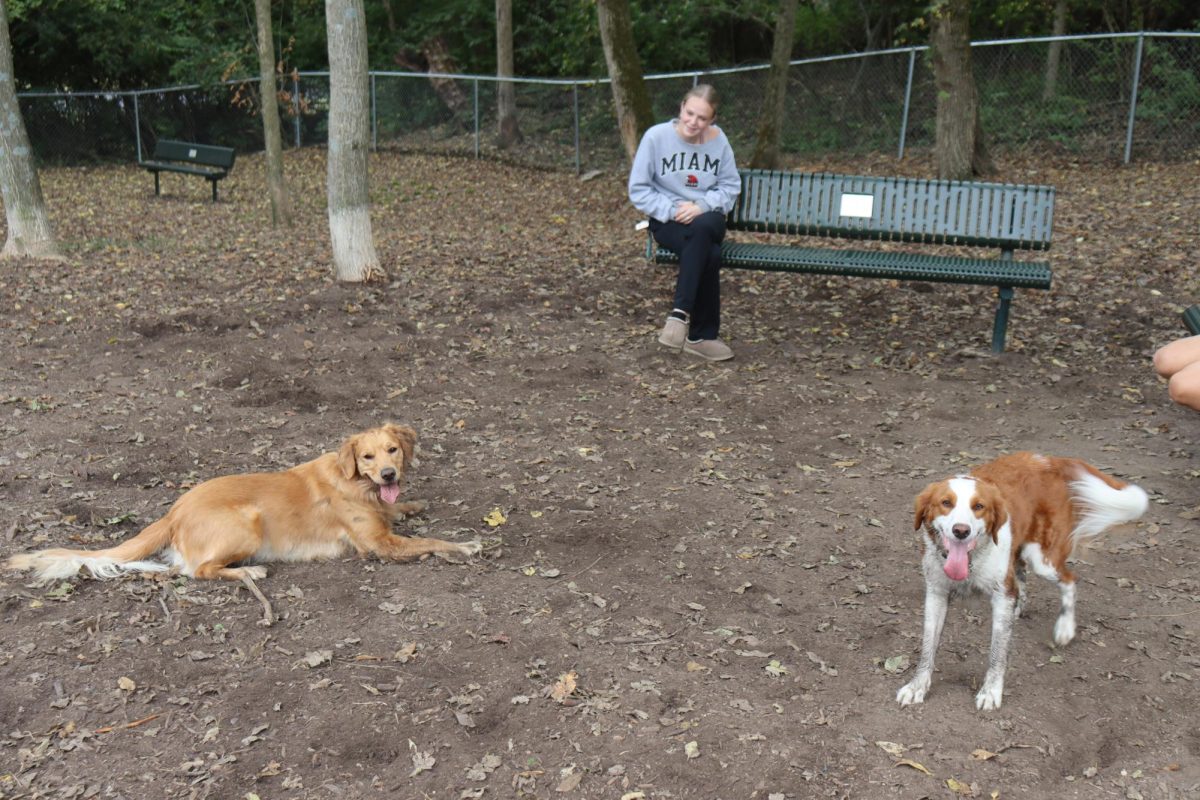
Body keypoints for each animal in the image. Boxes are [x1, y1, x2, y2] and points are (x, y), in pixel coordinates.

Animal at [5, 422, 482, 585]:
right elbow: (431, 543)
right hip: (247, 523)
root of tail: (174, 510)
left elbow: (401, 511)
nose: (388, 475)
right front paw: (466, 545)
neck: (358, 485)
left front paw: (413, 504)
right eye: (367, 457)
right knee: (198, 571)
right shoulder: (380, 546)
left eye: (392, 451)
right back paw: (249, 571)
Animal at [902, 453, 1142, 710]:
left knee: (1069, 580)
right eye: (946, 503)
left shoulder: (1001, 596)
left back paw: (1065, 627)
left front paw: (991, 691)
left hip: (1043, 559)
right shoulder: (936, 593)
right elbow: (928, 645)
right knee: (1022, 578)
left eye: (979, 507)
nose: (961, 531)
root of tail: (1048, 459)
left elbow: (997, 652)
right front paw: (917, 686)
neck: (971, 561)